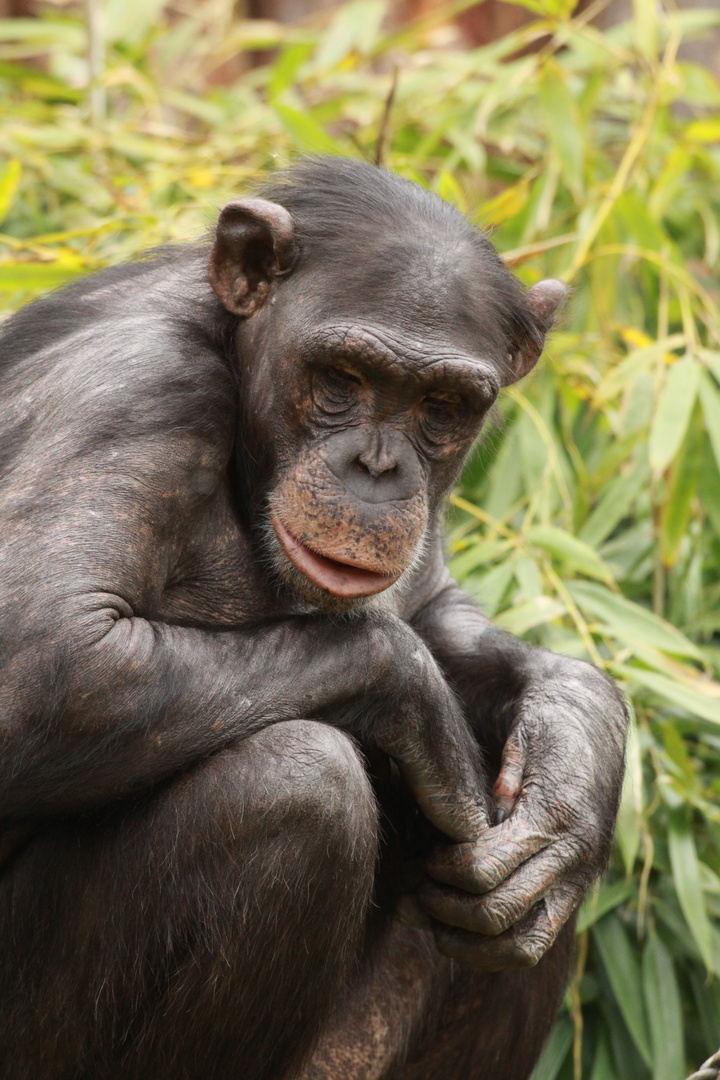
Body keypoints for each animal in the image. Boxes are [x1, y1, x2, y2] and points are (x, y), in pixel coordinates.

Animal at [0, 156, 626, 1075]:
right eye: (343, 378)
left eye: (442, 406)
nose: (376, 466)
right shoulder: (133, 386)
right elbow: (47, 653)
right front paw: (428, 718)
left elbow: (435, 611)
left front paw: (574, 746)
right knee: (294, 789)